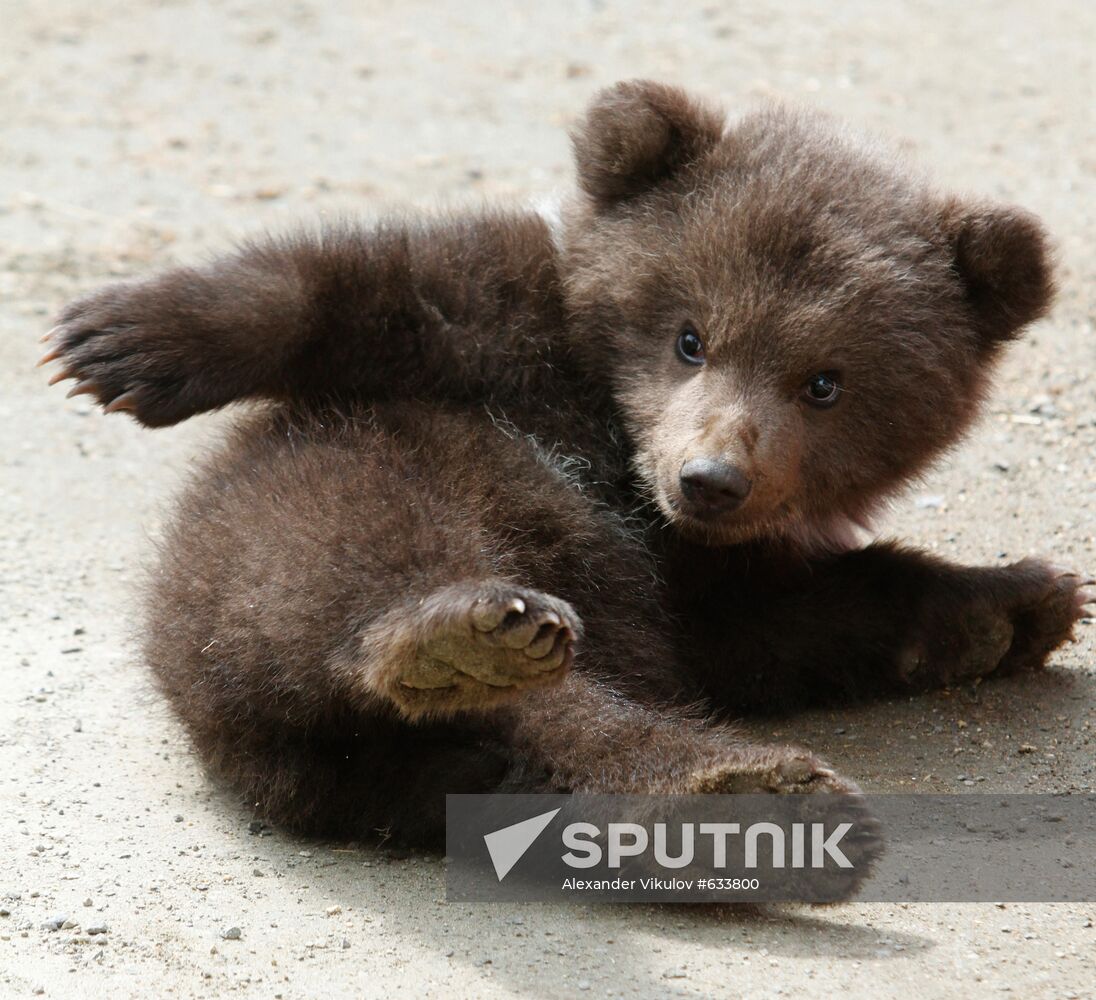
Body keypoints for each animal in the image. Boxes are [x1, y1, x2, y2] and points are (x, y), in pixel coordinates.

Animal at [41, 81, 1089, 896]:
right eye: (690, 335)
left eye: (825, 382)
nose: (711, 479)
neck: (616, 454)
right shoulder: (504, 331)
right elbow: (374, 292)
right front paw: (120, 339)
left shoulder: (698, 583)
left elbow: (794, 615)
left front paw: (1012, 603)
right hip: (295, 527)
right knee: (372, 568)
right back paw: (477, 644)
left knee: (550, 733)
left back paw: (738, 807)